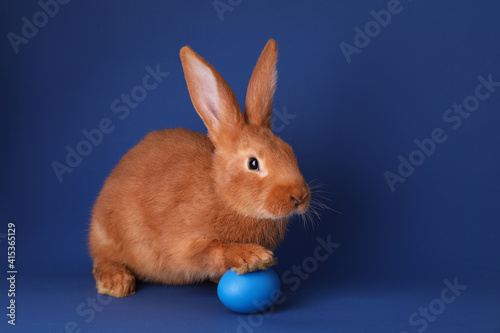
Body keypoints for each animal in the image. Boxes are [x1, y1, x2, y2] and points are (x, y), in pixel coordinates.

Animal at [88, 39, 310, 296]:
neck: (222, 194)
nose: (300, 197)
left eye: (289, 150)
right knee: (102, 259)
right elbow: (214, 250)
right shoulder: (185, 243)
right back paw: (117, 282)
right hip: (108, 237)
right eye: (253, 163)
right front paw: (252, 257)